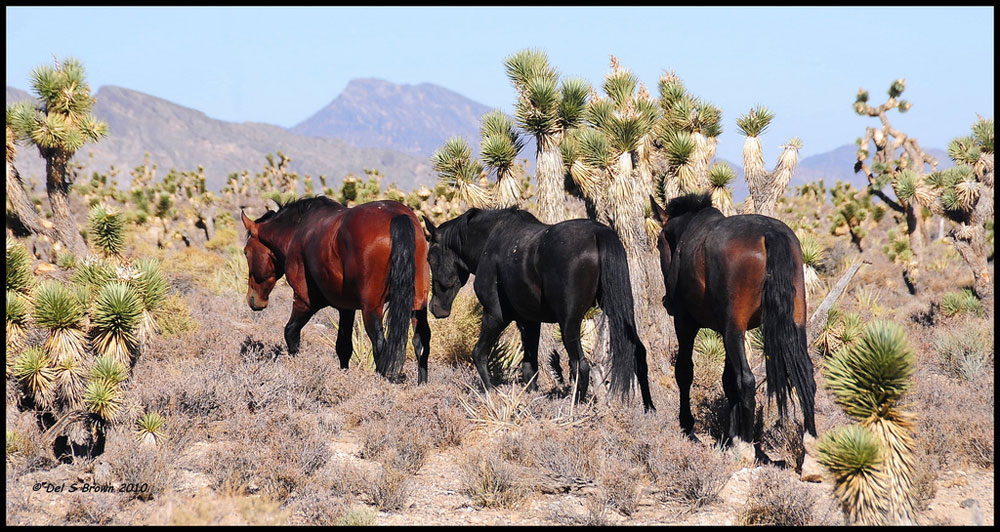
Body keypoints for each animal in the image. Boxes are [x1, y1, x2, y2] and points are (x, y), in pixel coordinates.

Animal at [243, 195, 434, 382]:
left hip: (371, 308)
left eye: (246, 252)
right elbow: (343, 347)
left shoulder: (305, 301)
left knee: (380, 344)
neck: (297, 231)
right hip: (417, 303)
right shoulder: (346, 308)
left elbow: (291, 332)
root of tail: (397, 216)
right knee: (421, 341)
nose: (253, 299)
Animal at [422, 206, 656, 410]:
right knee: (638, 353)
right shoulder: (529, 322)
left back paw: (575, 408)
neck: (490, 241)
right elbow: (529, 367)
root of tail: (599, 234)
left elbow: (479, 353)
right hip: (618, 314)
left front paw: (489, 394)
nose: (436, 308)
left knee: (580, 365)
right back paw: (648, 409)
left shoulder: (495, 316)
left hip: (569, 324)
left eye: (430, 258)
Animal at [648, 192, 820, 448]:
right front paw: (730, 436)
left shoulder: (686, 323)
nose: (666, 301)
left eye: (660, 243)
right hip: (793, 324)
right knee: (805, 375)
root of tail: (770, 234)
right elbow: (727, 380)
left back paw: (746, 446)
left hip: (733, 330)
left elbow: (685, 371)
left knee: (747, 380)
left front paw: (688, 427)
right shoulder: (727, 329)